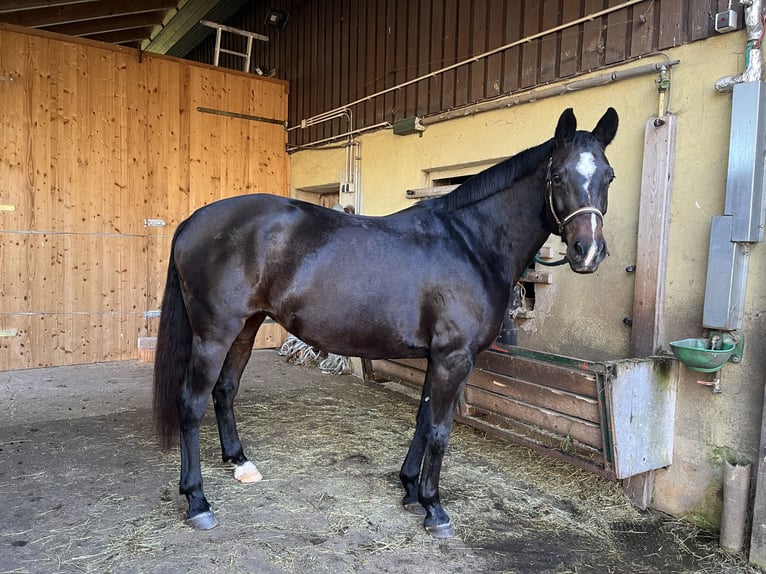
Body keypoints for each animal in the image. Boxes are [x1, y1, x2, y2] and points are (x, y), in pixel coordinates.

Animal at [153, 107, 620, 540]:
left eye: (609, 176)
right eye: (557, 175)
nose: (588, 251)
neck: (470, 242)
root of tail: (194, 221)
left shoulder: (437, 357)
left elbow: (423, 418)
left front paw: (411, 490)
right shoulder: (454, 358)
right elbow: (440, 429)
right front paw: (435, 508)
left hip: (246, 327)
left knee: (225, 390)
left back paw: (240, 462)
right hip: (213, 335)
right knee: (191, 404)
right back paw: (197, 501)